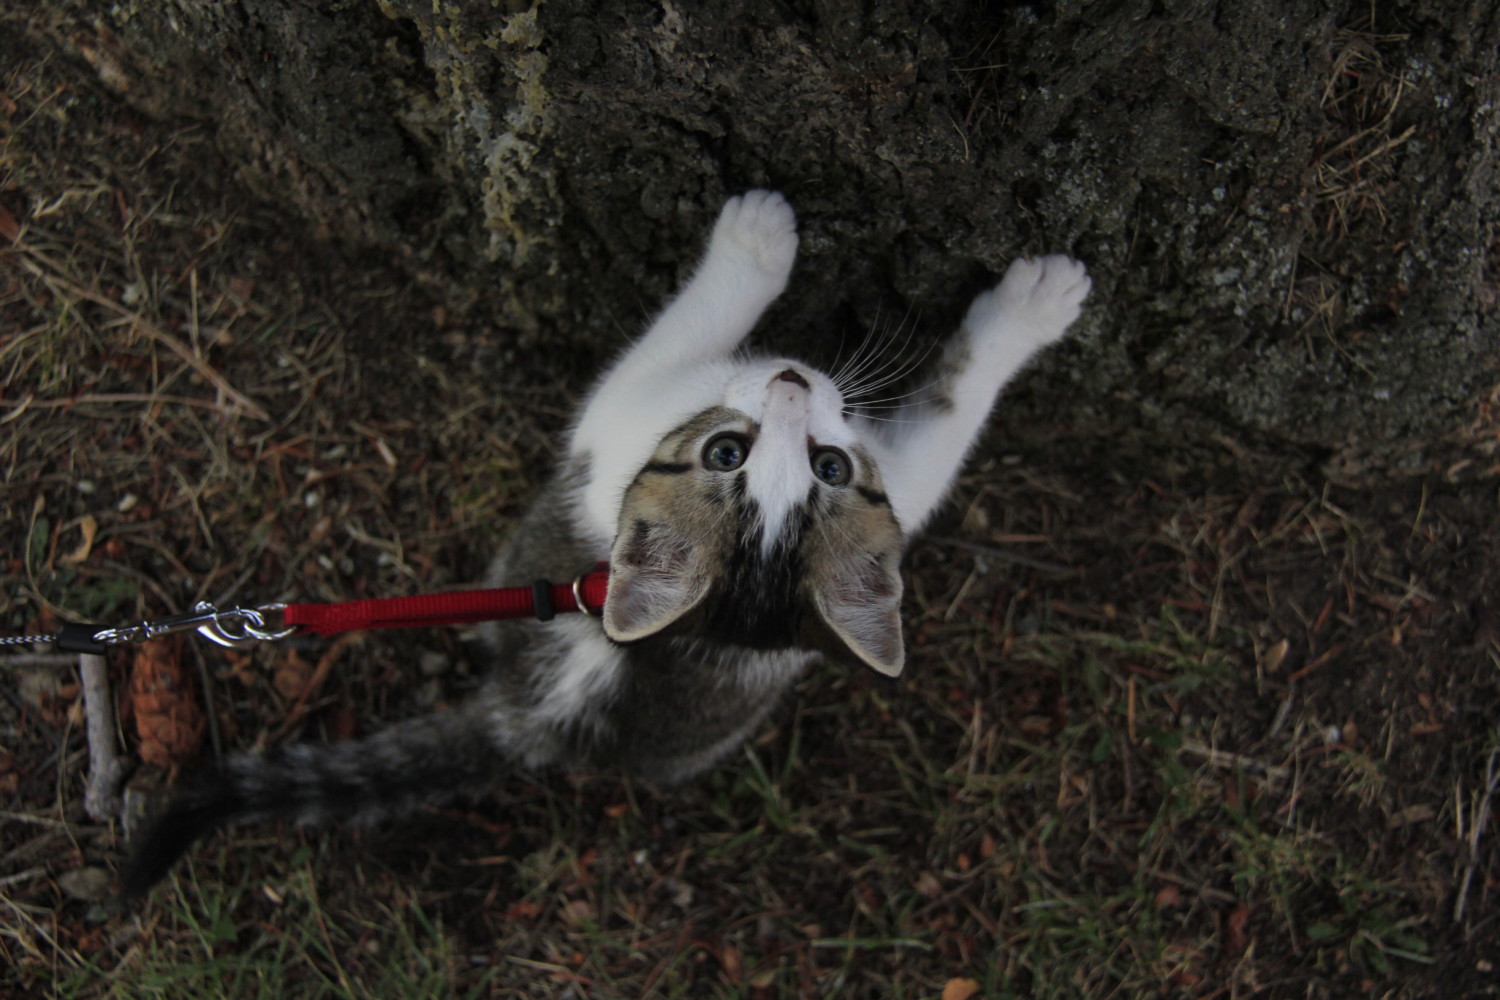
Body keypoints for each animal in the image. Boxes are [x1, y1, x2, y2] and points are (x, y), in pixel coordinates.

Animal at [123, 191, 1092, 893]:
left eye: (825, 465)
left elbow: (940, 410)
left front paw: (1021, 310)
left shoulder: (658, 418)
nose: (789, 381)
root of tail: (530, 714)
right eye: (730, 452)